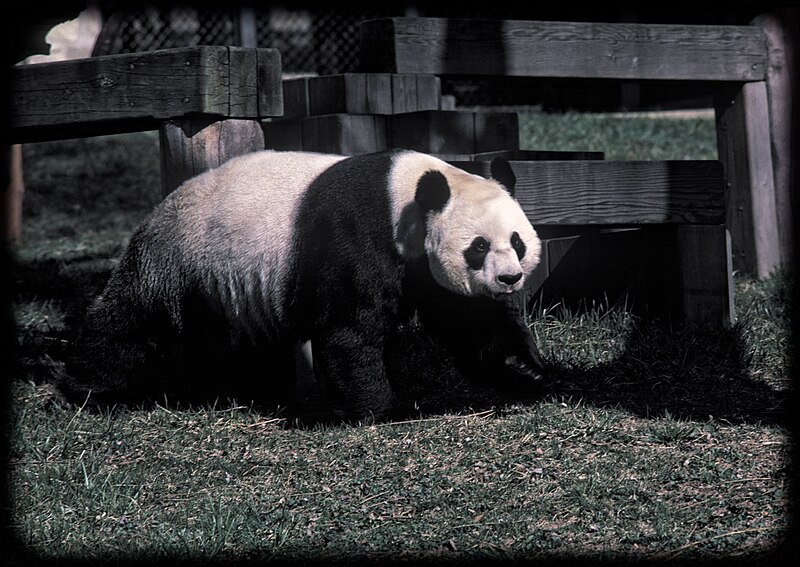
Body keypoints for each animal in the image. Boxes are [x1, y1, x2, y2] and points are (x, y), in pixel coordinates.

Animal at [65, 149, 548, 420]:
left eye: (517, 242)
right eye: (478, 247)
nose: (509, 279)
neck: (410, 190)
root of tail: (160, 204)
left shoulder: (423, 270)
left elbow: (469, 322)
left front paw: (526, 369)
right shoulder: (359, 233)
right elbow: (350, 330)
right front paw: (385, 408)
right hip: (182, 257)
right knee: (133, 318)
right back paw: (88, 388)